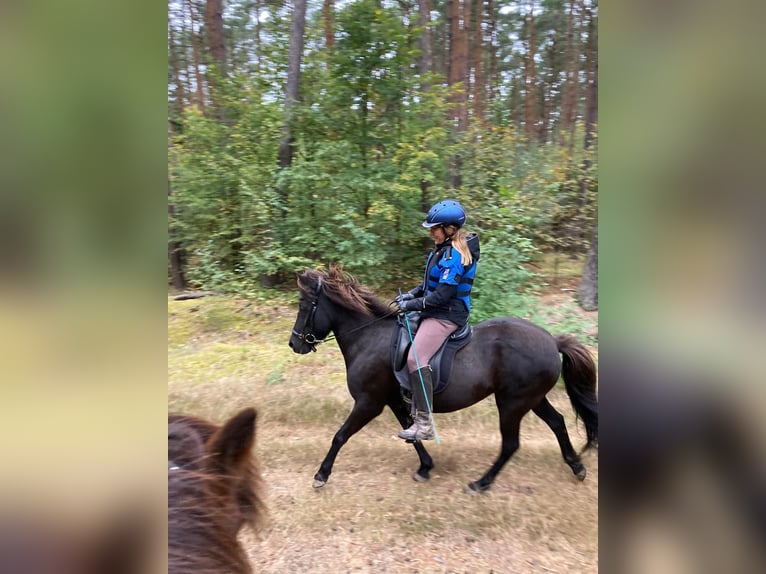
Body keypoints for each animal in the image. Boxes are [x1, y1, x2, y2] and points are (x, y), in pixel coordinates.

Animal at [288, 265, 598, 492]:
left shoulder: (369, 403)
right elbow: (411, 434)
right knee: (557, 423)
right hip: (531, 399)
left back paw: (481, 483)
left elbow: (340, 435)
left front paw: (321, 475)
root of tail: (552, 341)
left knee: (511, 444)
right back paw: (577, 466)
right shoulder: (394, 401)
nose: (294, 344)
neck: (369, 337)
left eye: (304, 305)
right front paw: (425, 467)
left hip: (512, 403)